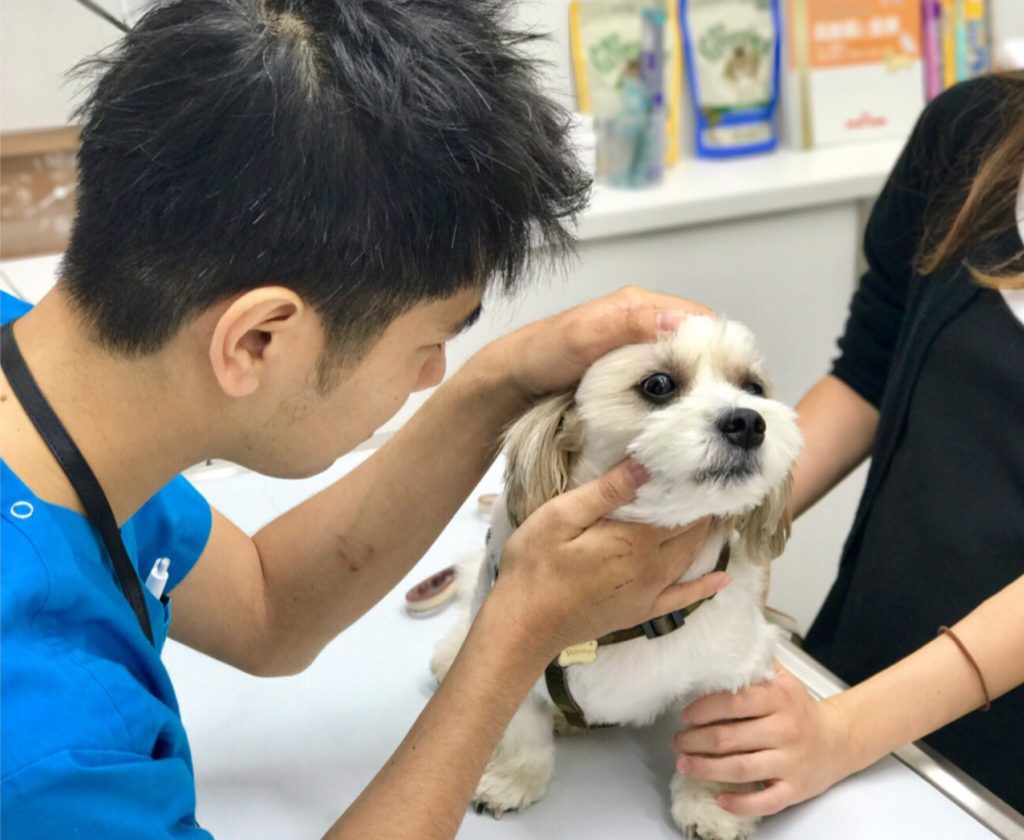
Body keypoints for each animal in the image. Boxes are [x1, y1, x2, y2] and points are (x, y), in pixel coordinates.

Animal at [428, 317, 802, 840]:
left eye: (754, 388)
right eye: (659, 384)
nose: (748, 421)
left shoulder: (734, 674)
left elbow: (720, 747)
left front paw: (713, 807)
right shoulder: (507, 650)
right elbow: (520, 727)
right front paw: (511, 780)